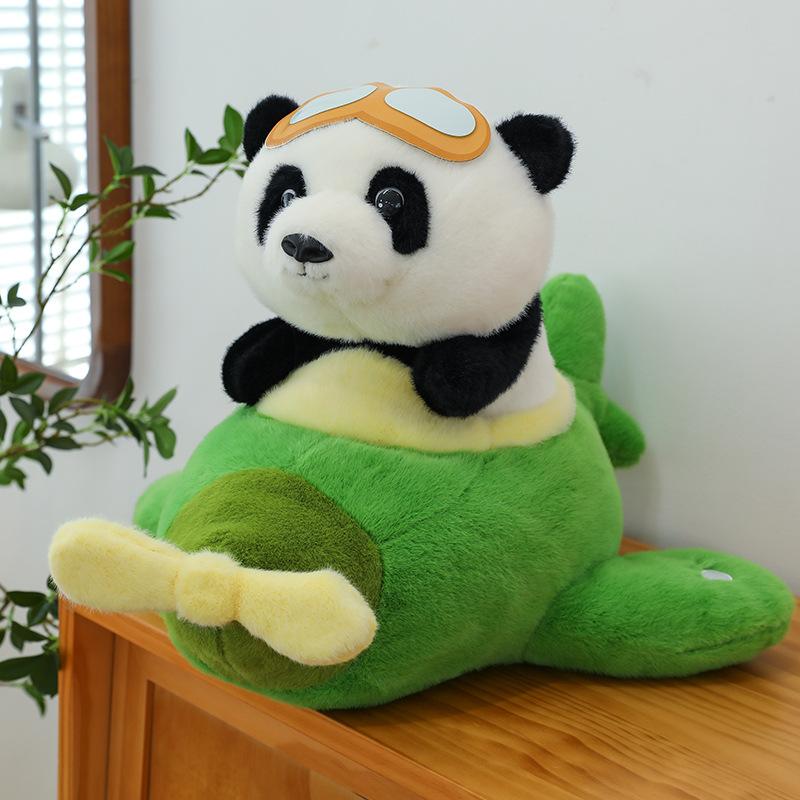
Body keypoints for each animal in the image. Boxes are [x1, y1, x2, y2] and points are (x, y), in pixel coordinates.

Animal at [224, 82, 574, 418]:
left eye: (390, 199)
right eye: (286, 196)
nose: (304, 244)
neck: (372, 338)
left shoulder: (513, 325)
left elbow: (470, 376)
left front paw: (449, 375)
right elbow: (277, 342)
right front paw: (243, 364)